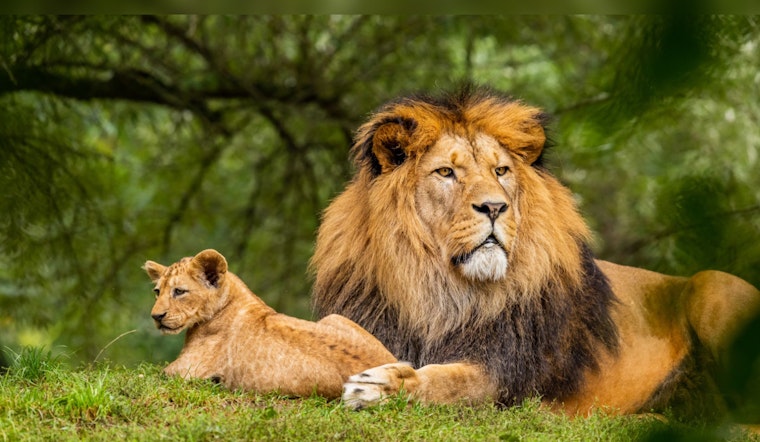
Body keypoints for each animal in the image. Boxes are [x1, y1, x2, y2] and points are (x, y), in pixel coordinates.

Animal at [144, 249, 396, 398]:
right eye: (157, 292)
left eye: (179, 291)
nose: (156, 316)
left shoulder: (184, 371)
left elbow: (151, 375)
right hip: (334, 317)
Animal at [310, 85, 760, 418]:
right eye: (446, 172)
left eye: (501, 171)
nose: (495, 207)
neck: (438, 289)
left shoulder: (504, 373)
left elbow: (449, 381)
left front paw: (380, 387)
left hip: (712, 286)